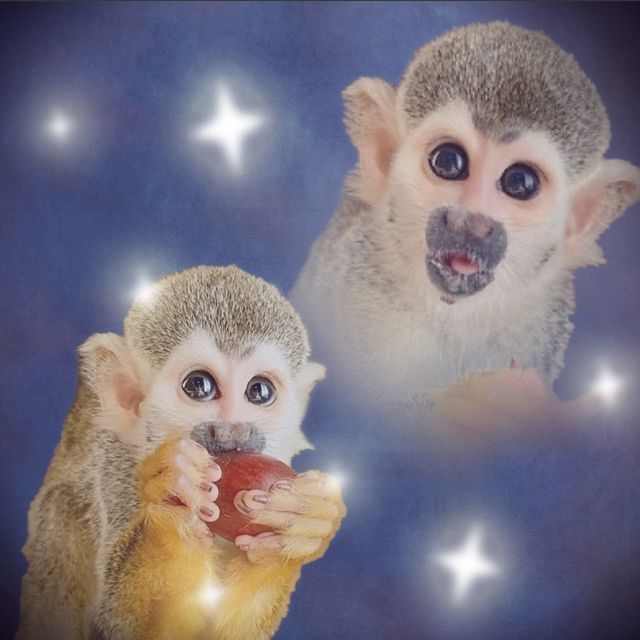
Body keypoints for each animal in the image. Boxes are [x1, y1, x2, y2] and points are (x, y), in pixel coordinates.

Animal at [17, 265, 346, 640]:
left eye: (259, 391)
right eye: (198, 386)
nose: (232, 431)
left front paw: (302, 528)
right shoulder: (116, 470)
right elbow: (119, 625)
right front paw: (172, 514)